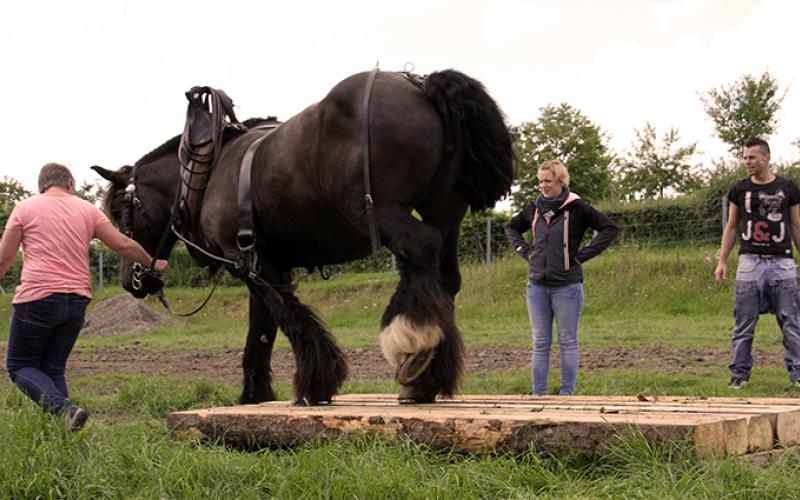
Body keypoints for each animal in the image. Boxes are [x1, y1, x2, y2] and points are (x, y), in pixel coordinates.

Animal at [94, 70, 512, 404]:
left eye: (120, 211)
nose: (130, 281)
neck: (204, 174)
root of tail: (420, 85)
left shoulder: (253, 264)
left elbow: (289, 316)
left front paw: (316, 383)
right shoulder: (256, 263)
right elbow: (260, 333)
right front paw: (254, 396)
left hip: (381, 210)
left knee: (419, 251)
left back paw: (410, 343)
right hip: (445, 214)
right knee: (444, 278)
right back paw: (426, 380)